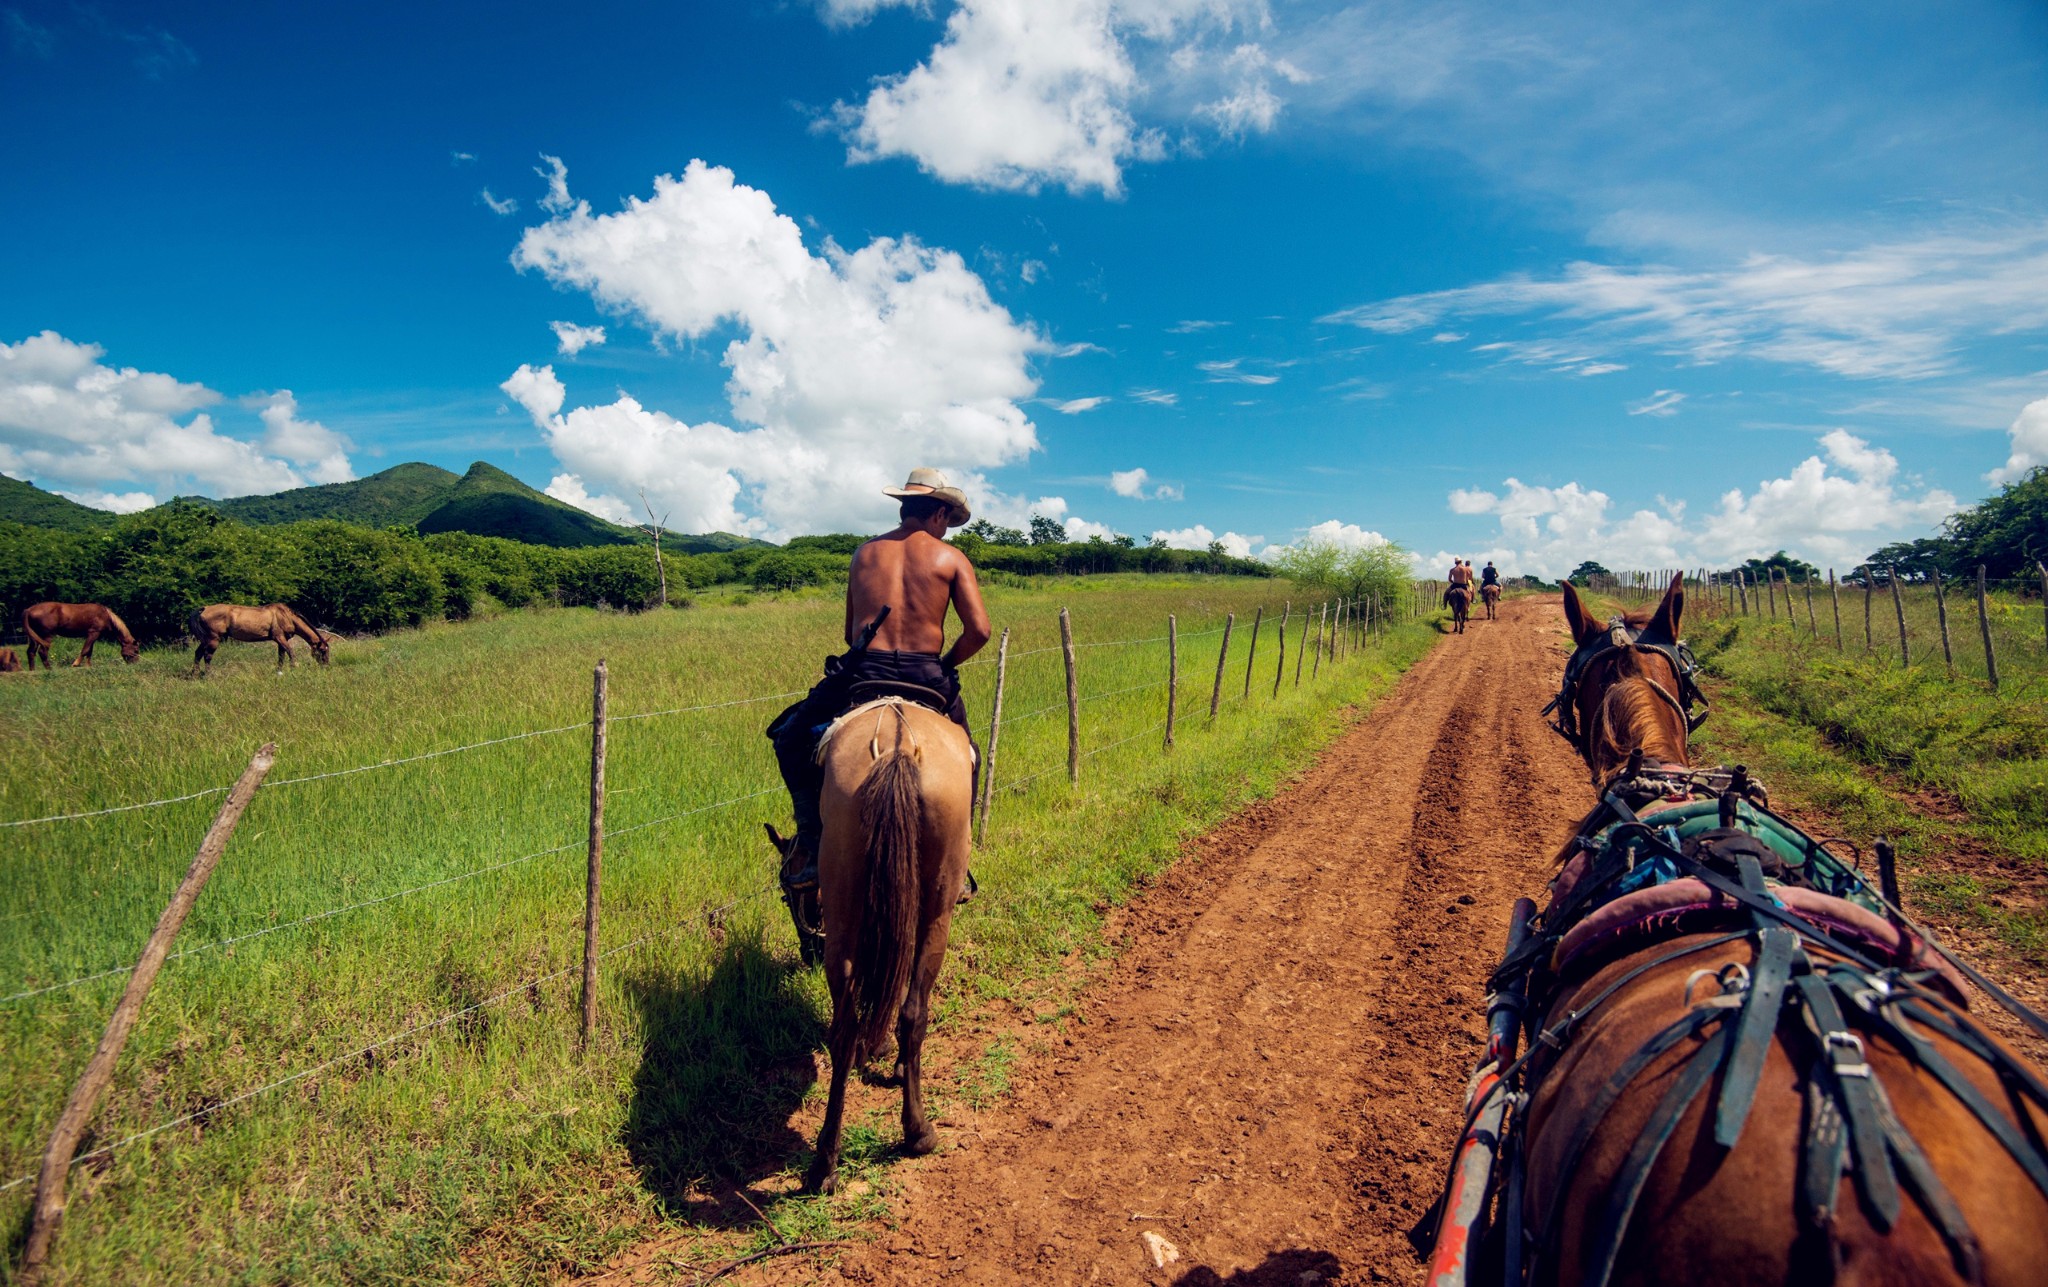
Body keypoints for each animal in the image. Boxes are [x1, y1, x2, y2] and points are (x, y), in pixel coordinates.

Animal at [786, 692, 970, 1196]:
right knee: (912, 1012)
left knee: (846, 1028)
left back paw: (825, 1162)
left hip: (845, 908)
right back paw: (917, 1131)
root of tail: (897, 746)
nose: (805, 950)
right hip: (936, 912)